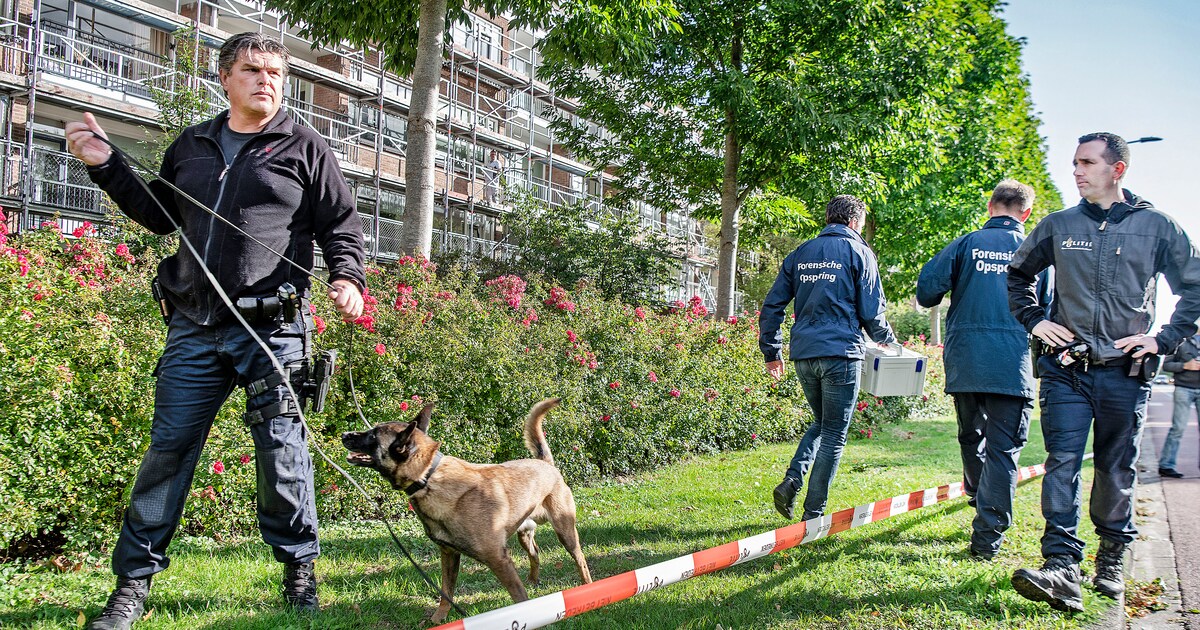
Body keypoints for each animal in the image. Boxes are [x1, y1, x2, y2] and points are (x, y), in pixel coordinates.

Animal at [340, 396, 592, 619]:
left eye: (372, 435)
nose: (343, 434)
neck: (428, 477)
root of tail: (545, 463)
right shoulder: (449, 555)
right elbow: (446, 594)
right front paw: (438, 619)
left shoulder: (499, 560)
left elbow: (518, 597)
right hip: (525, 535)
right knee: (536, 554)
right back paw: (533, 580)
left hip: (566, 533)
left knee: (580, 560)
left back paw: (587, 587)